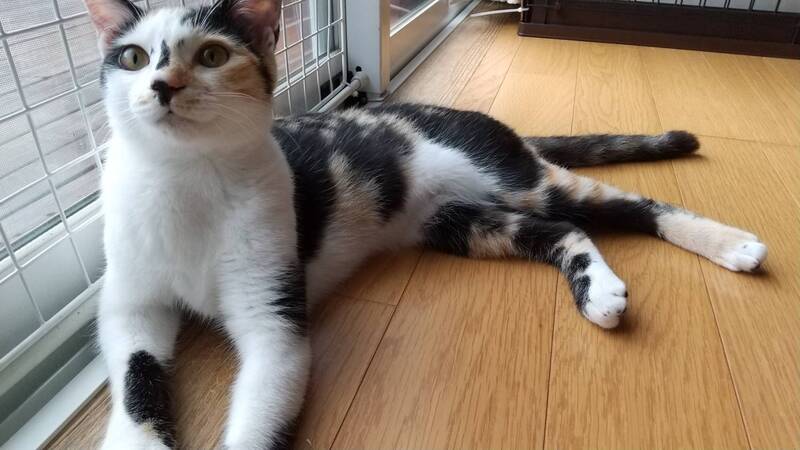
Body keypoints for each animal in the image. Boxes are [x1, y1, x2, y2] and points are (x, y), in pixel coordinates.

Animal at [85, 0, 767, 448]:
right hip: (462, 224)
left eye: (212, 55)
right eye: (132, 56)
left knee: (629, 206)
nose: (162, 85)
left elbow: (259, 414)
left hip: (518, 180)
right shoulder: (130, 306)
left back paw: (733, 245)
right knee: (564, 233)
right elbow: (135, 379)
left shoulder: (273, 317)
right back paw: (597, 291)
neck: (182, 185)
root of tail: (499, 127)